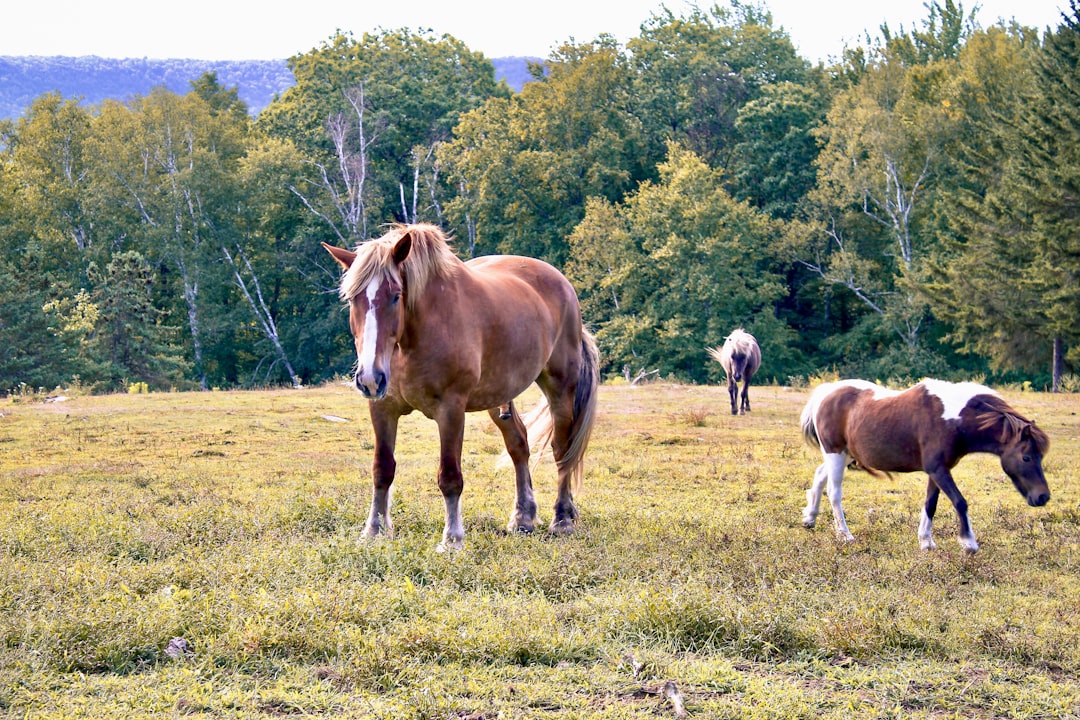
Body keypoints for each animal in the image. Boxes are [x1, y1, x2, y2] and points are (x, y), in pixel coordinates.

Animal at [324, 225, 604, 552]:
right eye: (352, 299)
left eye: (395, 296)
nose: (370, 377)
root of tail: (563, 285)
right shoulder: (383, 407)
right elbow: (382, 469)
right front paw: (374, 531)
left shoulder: (451, 409)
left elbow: (450, 477)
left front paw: (452, 539)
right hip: (499, 396)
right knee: (518, 445)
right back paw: (523, 518)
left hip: (560, 387)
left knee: (562, 449)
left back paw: (562, 519)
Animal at [803, 379, 1045, 557]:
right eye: (1026, 457)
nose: (1043, 497)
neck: (952, 419)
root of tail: (827, 392)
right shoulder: (938, 469)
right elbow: (960, 502)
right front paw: (968, 543)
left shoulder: (937, 471)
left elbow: (931, 504)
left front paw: (926, 541)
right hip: (836, 453)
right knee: (834, 492)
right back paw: (845, 535)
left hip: (844, 455)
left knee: (820, 475)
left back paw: (810, 518)